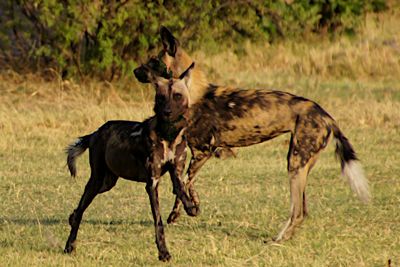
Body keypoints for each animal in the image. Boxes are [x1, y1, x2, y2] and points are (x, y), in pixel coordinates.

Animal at [63, 62, 198, 262]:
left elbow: (182, 194)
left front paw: (190, 208)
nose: (167, 112)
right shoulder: (152, 184)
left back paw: (70, 221)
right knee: (80, 211)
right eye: (161, 98)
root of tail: (95, 132)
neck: (169, 135)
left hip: (107, 183)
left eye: (177, 96)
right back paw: (69, 246)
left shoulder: (176, 174)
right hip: (96, 181)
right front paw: (163, 252)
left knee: (78, 209)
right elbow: (158, 222)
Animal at [133, 27, 370, 243]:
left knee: (297, 211)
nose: (135, 71)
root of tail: (326, 115)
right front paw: (193, 206)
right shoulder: (198, 154)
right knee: (303, 211)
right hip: (302, 163)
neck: (191, 93)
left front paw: (180, 213)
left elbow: (183, 184)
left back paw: (277, 240)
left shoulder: (203, 151)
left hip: (294, 163)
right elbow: (187, 183)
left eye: (153, 61)